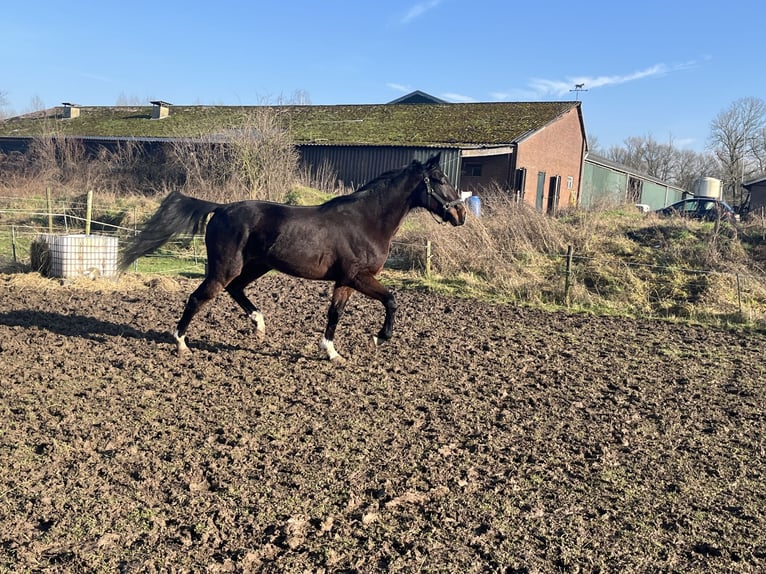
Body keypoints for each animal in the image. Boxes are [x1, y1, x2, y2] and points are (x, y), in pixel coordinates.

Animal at [120, 151, 468, 362]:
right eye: (440, 180)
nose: (461, 215)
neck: (366, 220)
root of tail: (221, 208)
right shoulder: (359, 276)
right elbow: (392, 300)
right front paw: (379, 338)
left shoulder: (345, 280)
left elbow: (335, 313)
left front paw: (331, 353)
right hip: (225, 268)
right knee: (198, 298)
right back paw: (181, 343)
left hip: (256, 266)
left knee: (236, 290)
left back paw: (258, 324)